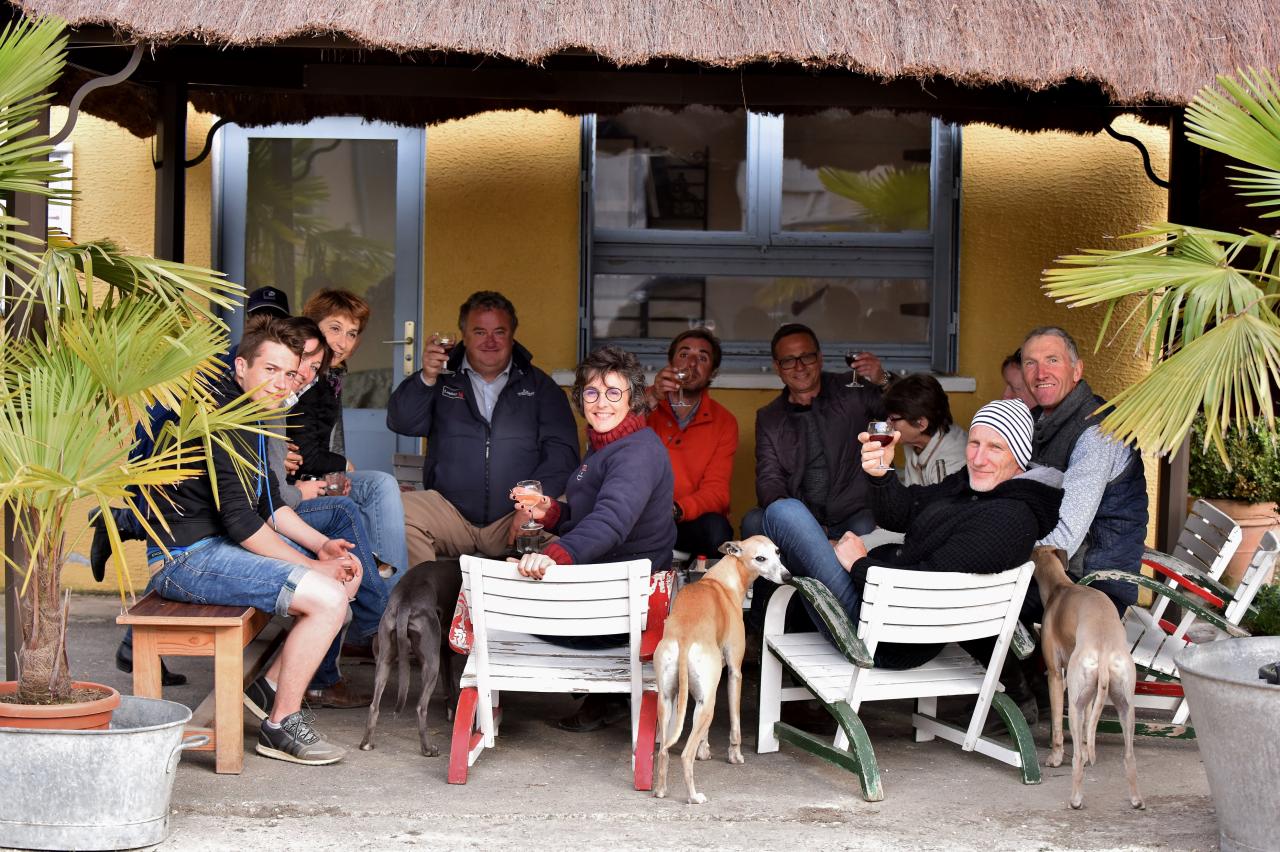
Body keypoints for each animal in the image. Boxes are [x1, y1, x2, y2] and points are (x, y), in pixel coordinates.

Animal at [1034, 544, 1146, 808]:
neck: (1060, 586)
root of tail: (1104, 649)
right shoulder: (1089, 695)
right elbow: (1088, 730)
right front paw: (1087, 751)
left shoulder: (1056, 676)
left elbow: (1057, 724)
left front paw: (1055, 757)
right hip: (1125, 706)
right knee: (1129, 755)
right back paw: (1136, 799)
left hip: (1074, 702)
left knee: (1075, 755)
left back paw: (1075, 798)